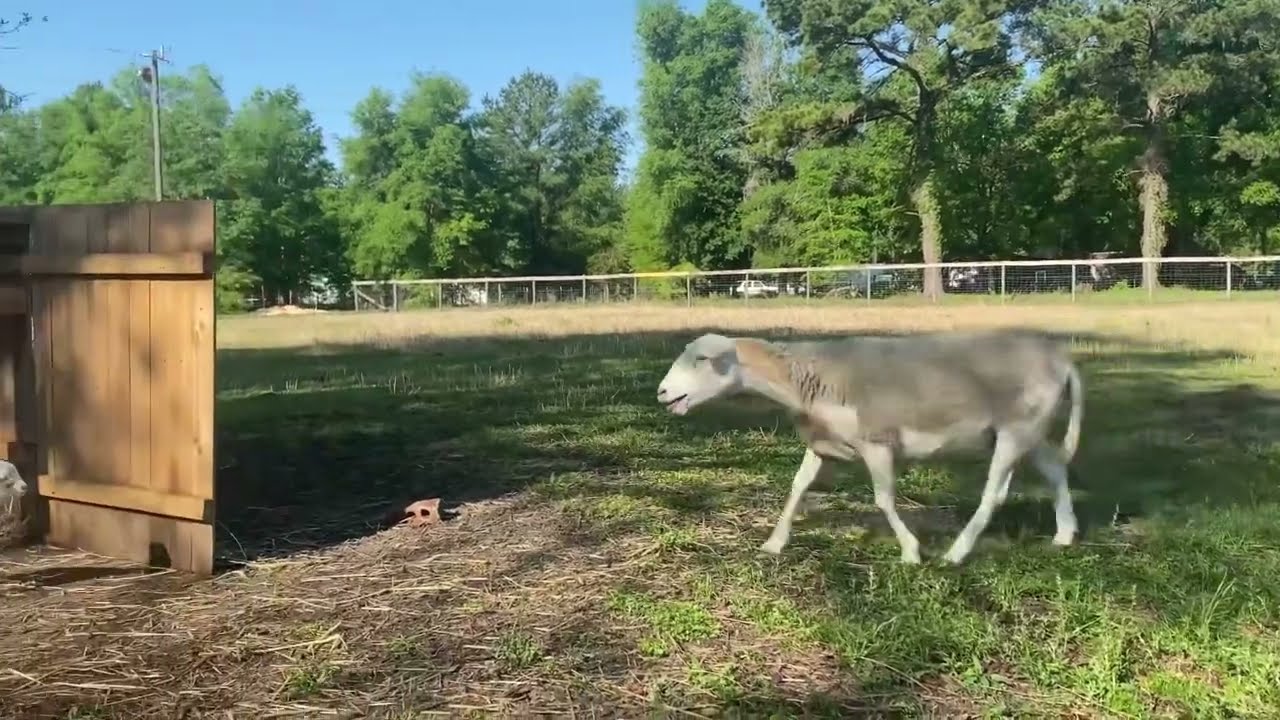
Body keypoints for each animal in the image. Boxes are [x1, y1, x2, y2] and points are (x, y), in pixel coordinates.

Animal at [655, 329, 1084, 565]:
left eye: (702, 359)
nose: (662, 393)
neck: (807, 378)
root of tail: (1062, 361)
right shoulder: (822, 443)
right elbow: (798, 487)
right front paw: (774, 543)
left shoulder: (877, 442)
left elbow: (883, 499)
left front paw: (911, 552)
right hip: (1030, 431)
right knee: (1056, 469)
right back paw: (1064, 535)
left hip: (1017, 429)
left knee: (994, 494)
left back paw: (956, 553)